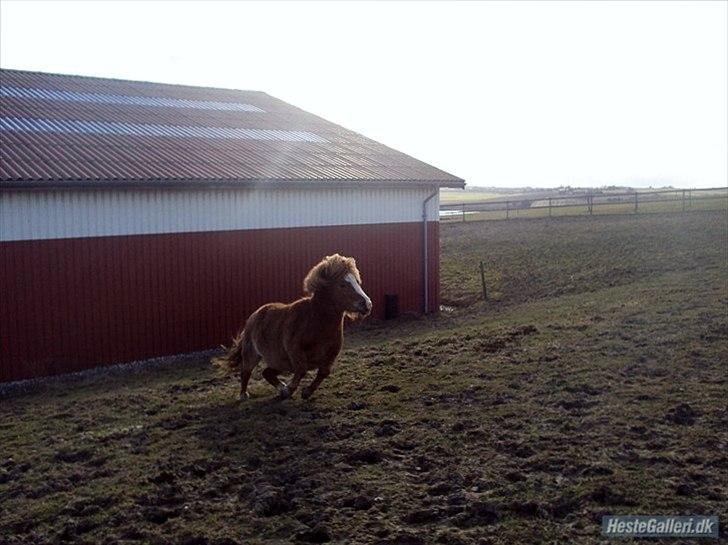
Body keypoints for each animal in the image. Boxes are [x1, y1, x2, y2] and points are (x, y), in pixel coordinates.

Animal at [210, 253, 370, 398]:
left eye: (357, 282)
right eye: (342, 284)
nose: (367, 304)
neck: (316, 323)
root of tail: (254, 317)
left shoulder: (330, 356)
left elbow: (324, 372)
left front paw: (305, 392)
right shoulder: (295, 353)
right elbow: (302, 369)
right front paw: (291, 389)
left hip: (280, 363)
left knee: (266, 372)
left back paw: (281, 389)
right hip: (254, 355)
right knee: (246, 372)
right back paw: (245, 394)